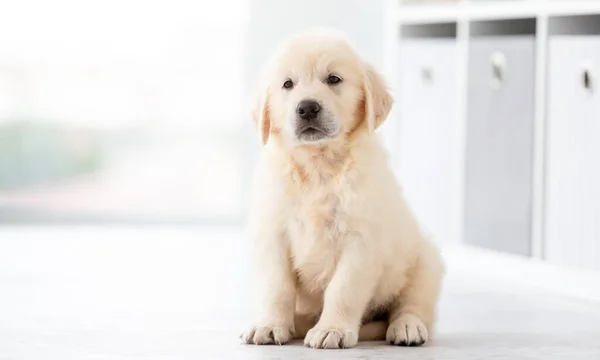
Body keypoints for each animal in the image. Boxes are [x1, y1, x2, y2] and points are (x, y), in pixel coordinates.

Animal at [240, 28, 446, 348]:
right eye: (287, 84)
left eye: (333, 79)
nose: (307, 107)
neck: (318, 166)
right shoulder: (273, 234)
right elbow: (277, 286)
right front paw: (270, 324)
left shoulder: (360, 240)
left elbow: (343, 289)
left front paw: (332, 329)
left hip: (425, 260)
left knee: (413, 305)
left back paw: (407, 327)